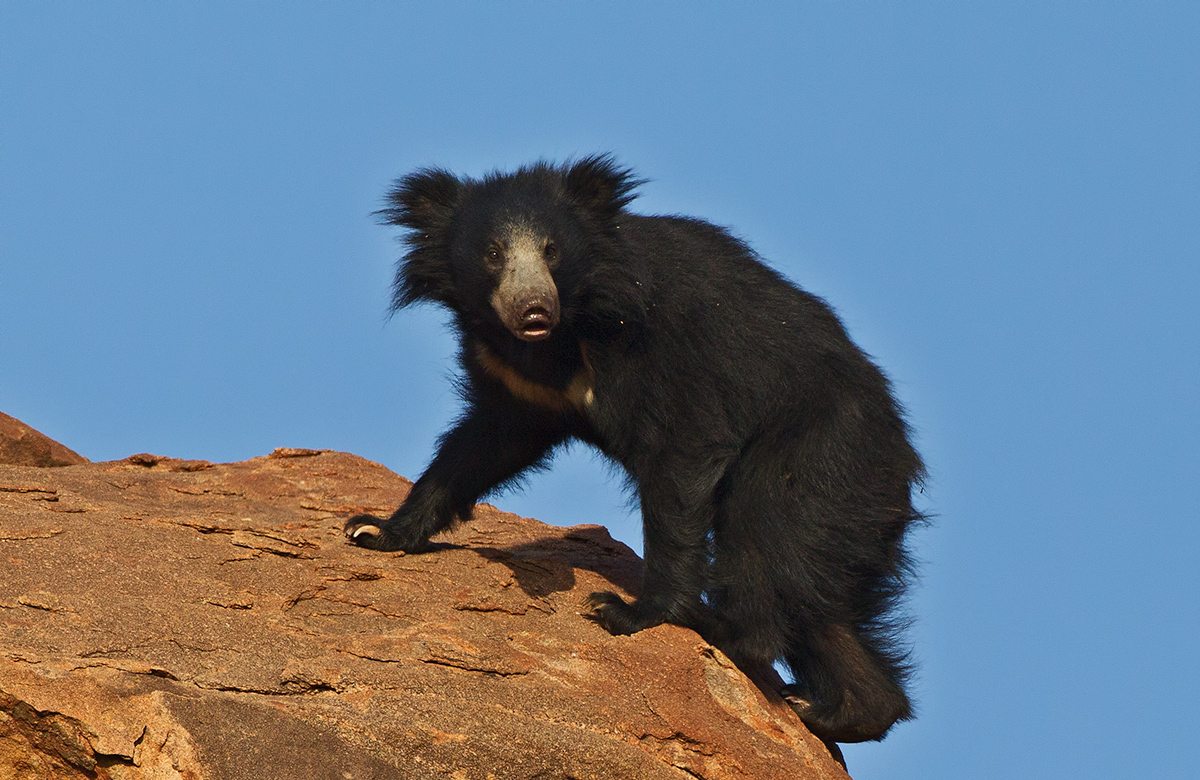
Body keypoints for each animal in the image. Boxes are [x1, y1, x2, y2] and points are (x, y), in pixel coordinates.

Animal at [345, 155, 926, 744]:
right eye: (493, 252)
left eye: (552, 250)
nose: (533, 309)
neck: (570, 327)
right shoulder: (520, 386)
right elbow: (481, 446)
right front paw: (374, 530)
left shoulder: (663, 344)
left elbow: (685, 448)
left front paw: (631, 611)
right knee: (817, 602)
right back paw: (837, 708)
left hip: (819, 450)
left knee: (766, 534)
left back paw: (724, 628)